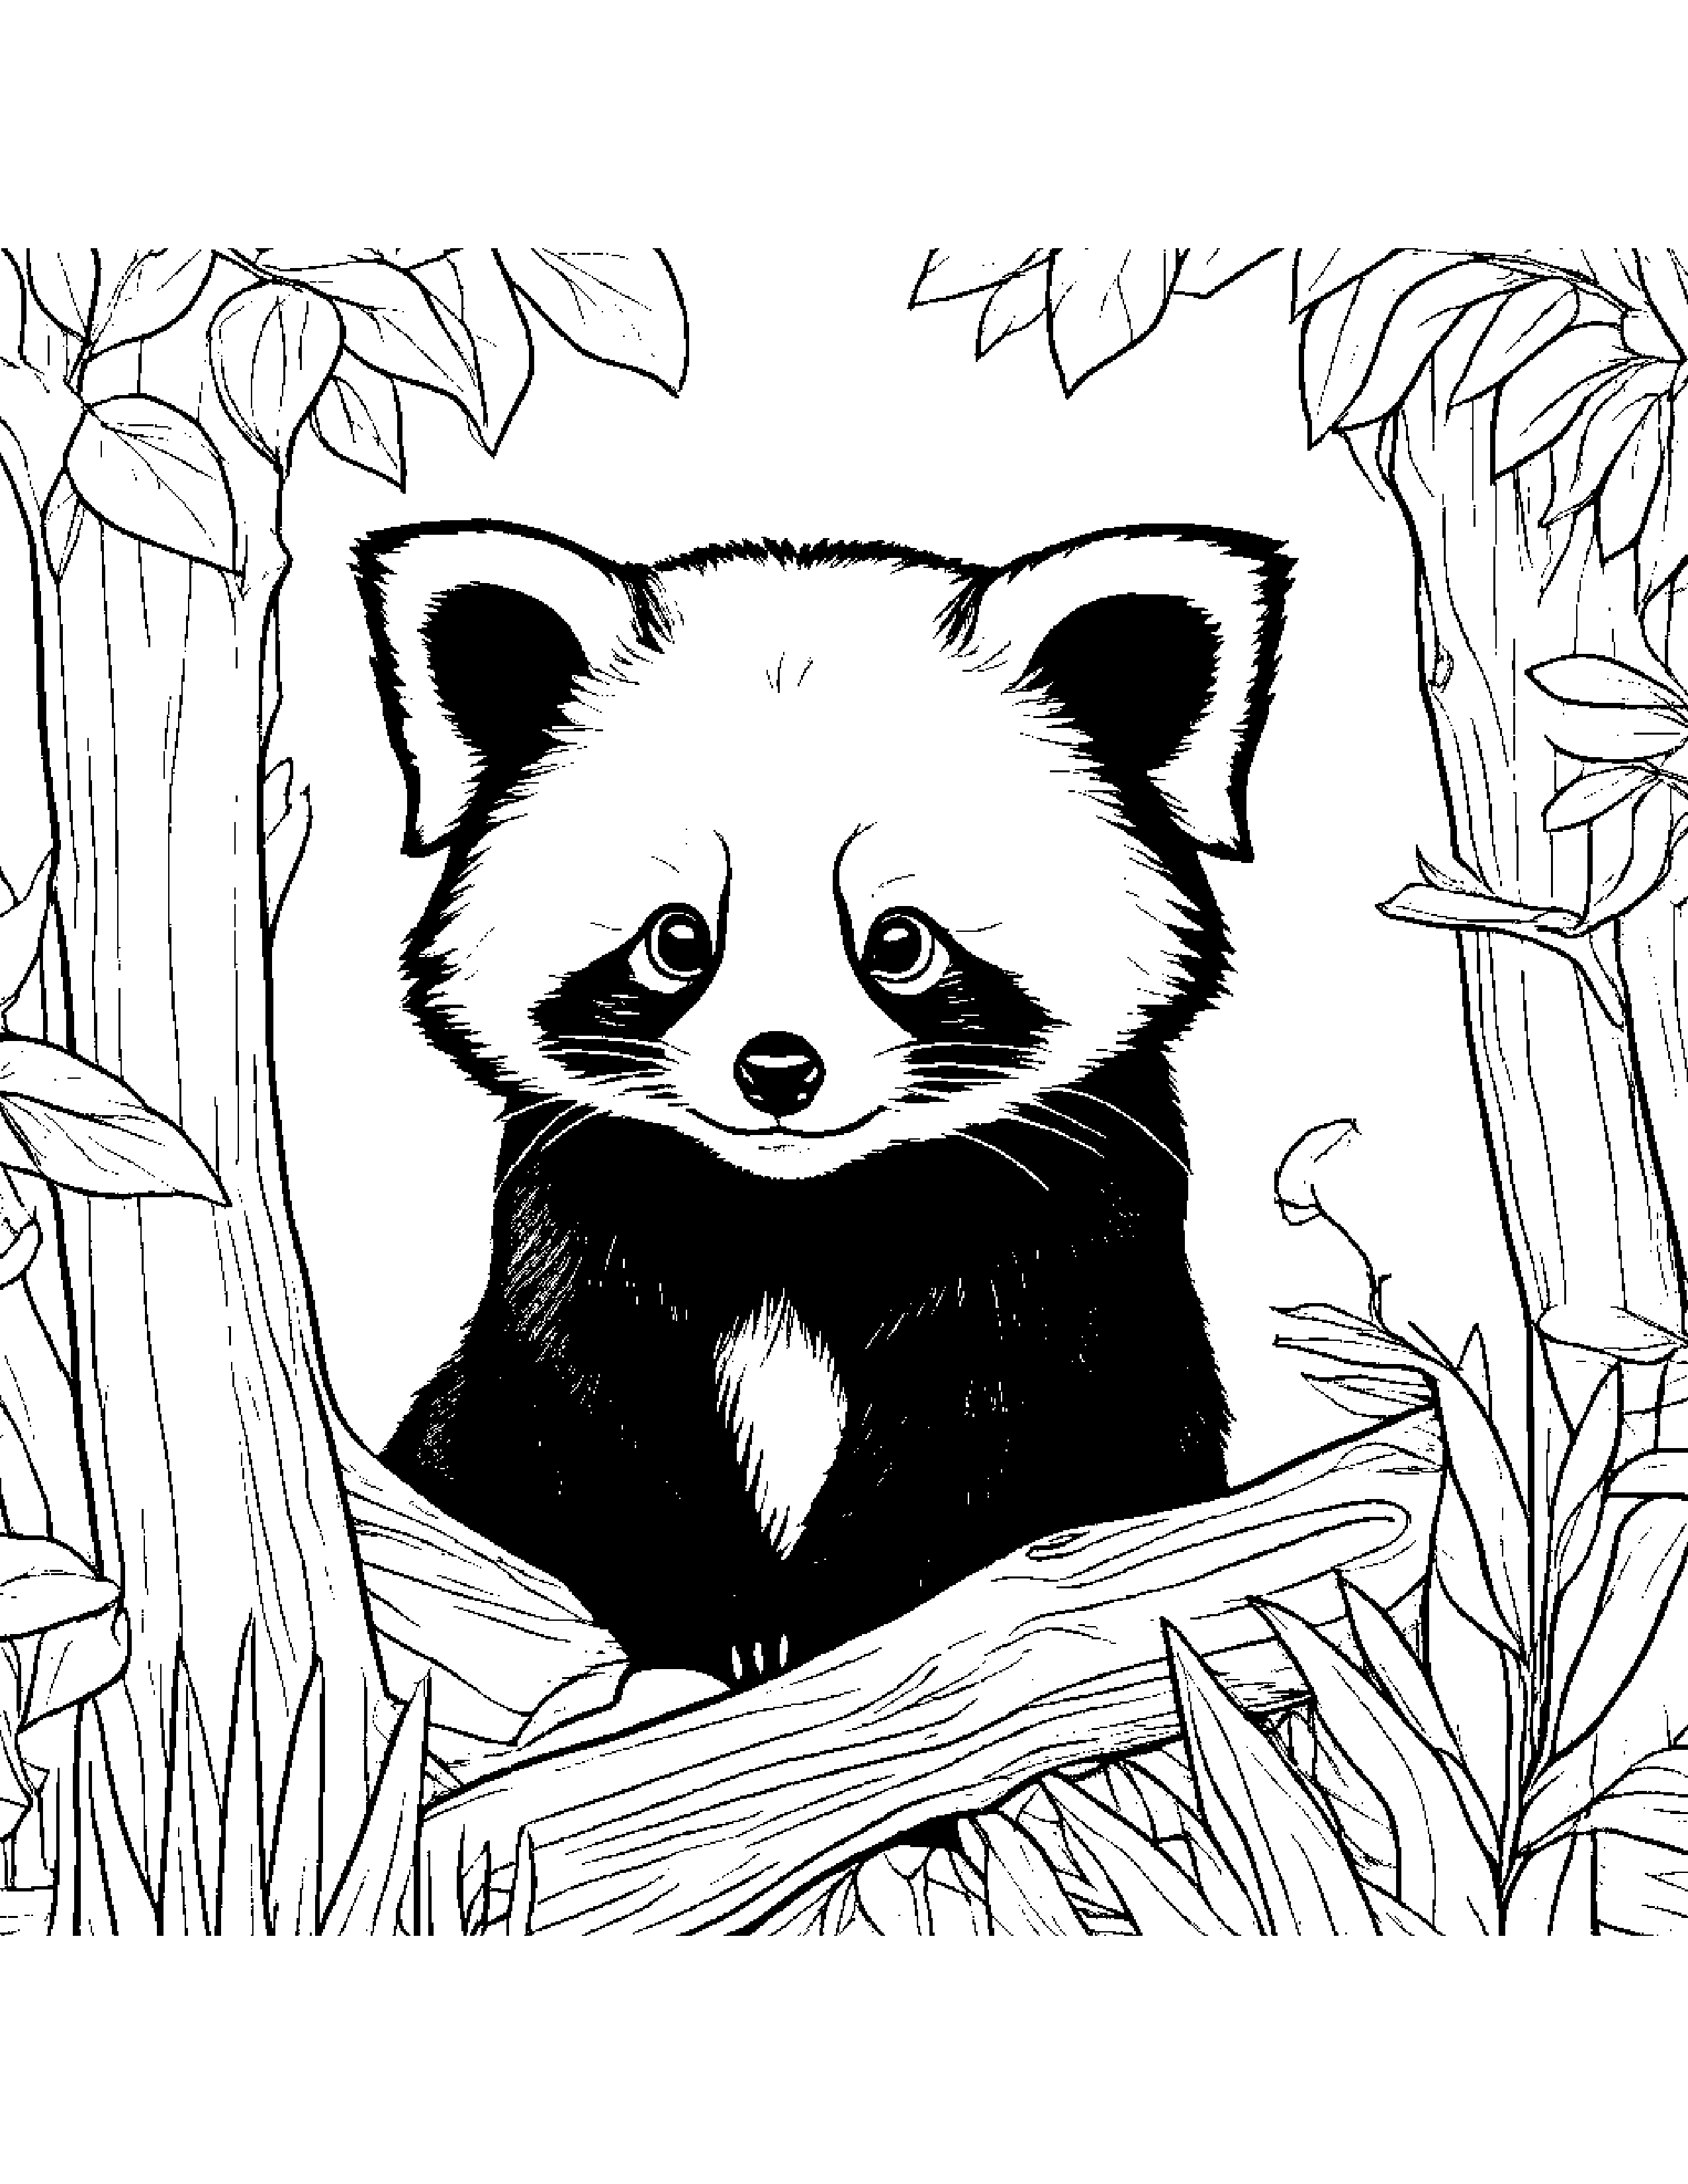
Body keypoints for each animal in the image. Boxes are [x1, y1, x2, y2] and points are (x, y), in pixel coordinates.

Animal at [354, 521, 1290, 1687]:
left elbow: (987, 1431)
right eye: (677, 939)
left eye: (900, 942)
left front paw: (838, 1619)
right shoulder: (588, 1205)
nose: (777, 1071)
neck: (796, 1208)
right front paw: (727, 1625)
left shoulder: (1056, 1227)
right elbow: (593, 1405)